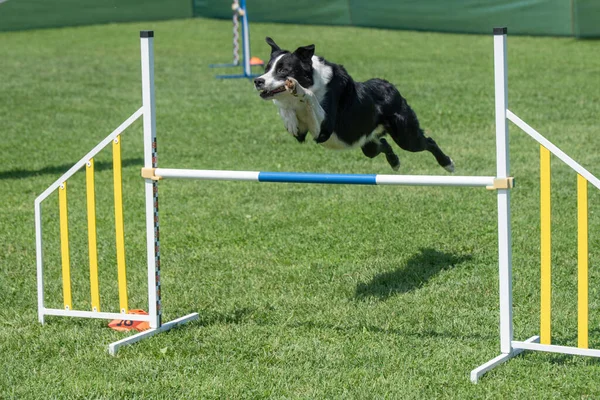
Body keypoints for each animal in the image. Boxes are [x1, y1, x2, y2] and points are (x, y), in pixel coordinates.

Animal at [253, 38, 454, 173]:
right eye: (266, 69)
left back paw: (448, 164)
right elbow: (286, 110)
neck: (312, 81)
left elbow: (309, 97)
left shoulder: (324, 129)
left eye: (283, 70)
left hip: (405, 135)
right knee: (382, 143)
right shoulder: (303, 133)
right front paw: (289, 119)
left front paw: (297, 88)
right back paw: (395, 162)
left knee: (428, 141)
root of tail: (388, 85)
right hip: (367, 143)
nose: (258, 81)